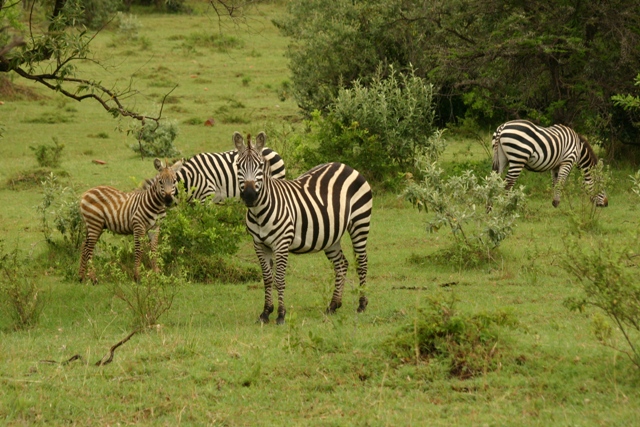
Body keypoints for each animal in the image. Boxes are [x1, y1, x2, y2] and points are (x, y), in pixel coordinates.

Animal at [234, 130, 376, 324]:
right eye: (238, 166)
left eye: (260, 166)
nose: (249, 195)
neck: (258, 212)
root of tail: (346, 166)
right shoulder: (259, 245)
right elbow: (267, 279)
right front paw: (265, 313)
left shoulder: (281, 244)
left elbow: (279, 279)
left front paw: (281, 314)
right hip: (331, 234)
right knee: (341, 264)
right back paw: (333, 305)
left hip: (360, 222)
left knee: (361, 262)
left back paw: (362, 304)